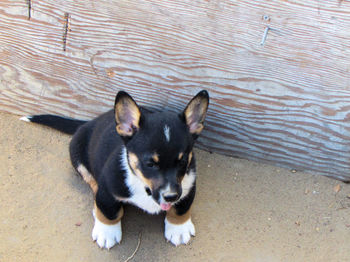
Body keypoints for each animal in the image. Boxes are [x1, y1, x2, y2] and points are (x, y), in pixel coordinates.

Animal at [21, 90, 209, 248]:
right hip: (77, 154)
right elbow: (109, 212)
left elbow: (182, 208)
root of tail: (91, 121)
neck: (143, 186)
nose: (171, 196)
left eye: (182, 161)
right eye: (150, 163)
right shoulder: (107, 189)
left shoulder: (188, 185)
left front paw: (179, 228)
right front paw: (107, 232)